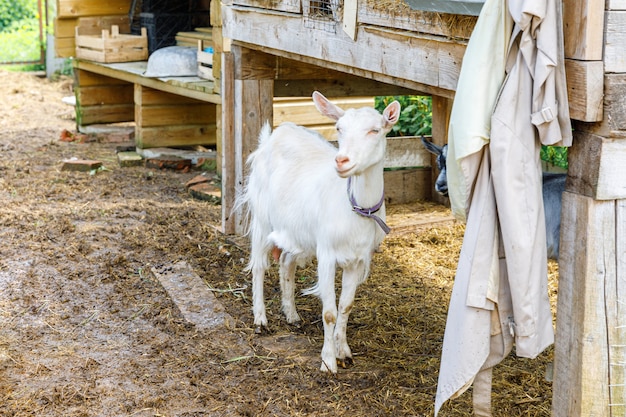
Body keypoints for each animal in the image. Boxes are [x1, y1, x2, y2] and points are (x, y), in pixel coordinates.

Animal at [239, 91, 400, 370]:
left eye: (375, 130)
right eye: (339, 128)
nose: (342, 160)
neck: (355, 207)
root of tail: (274, 135)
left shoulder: (357, 259)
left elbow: (346, 306)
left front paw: (343, 351)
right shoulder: (327, 253)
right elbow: (329, 312)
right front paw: (328, 361)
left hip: (296, 230)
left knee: (286, 261)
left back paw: (292, 314)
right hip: (262, 217)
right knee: (259, 265)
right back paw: (260, 319)